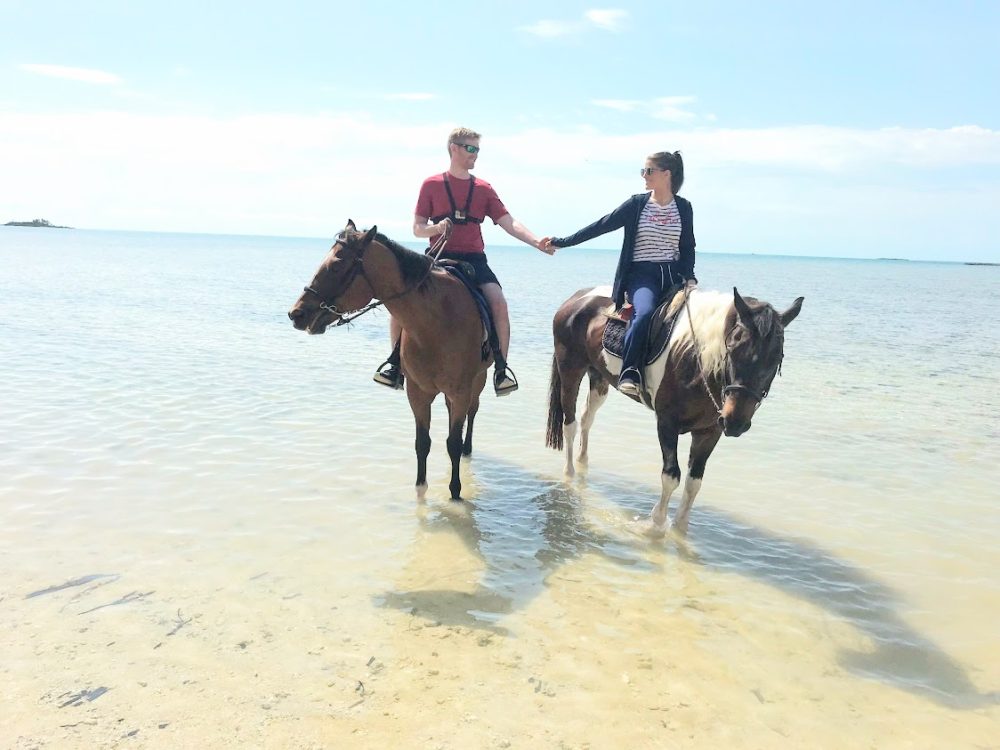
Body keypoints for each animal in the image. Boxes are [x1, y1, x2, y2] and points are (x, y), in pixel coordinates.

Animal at [288, 220, 490, 502]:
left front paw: (455, 493)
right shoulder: (417, 393)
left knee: (472, 412)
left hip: (478, 381)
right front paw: (420, 488)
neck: (434, 324)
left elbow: (453, 443)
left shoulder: (460, 391)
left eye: (337, 265)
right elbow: (422, 442)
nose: (296, 313)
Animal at [544, 284, 800, 536]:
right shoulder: (667, 423)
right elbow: (671, 476)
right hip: (570, 370)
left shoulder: (710, 431)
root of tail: (577, 298)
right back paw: (569, 473)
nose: (735, 421)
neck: (695, 359)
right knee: (570, 423)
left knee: (587, 417)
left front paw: (680, 527)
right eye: (733, 347)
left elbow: (694, 482)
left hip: (598, 376)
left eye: (776, 358)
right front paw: (655, 524)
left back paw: (583, 461)